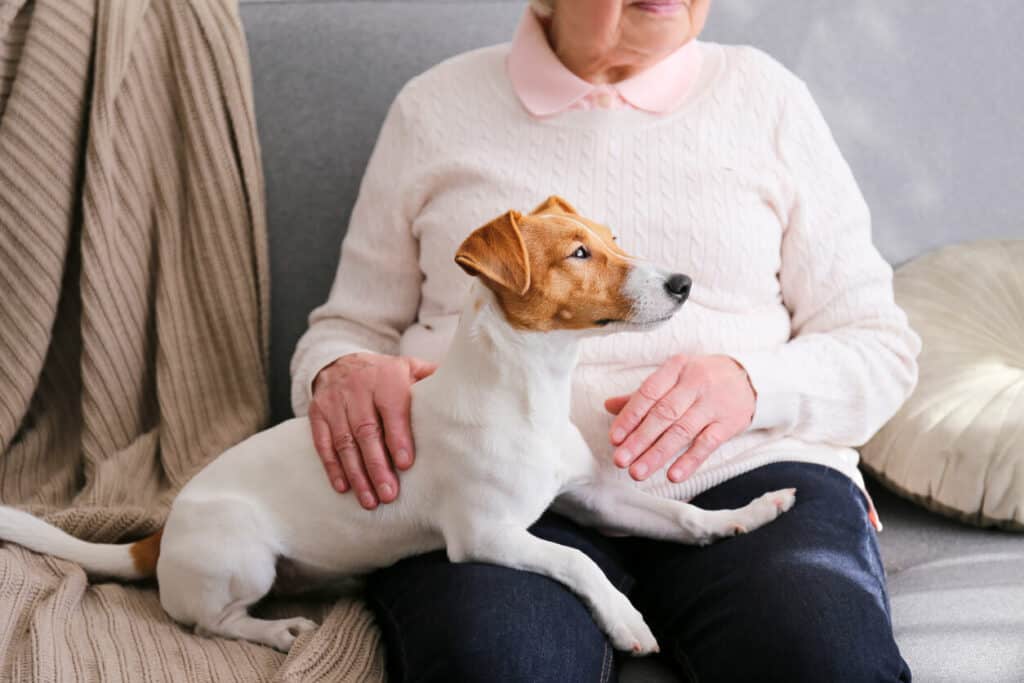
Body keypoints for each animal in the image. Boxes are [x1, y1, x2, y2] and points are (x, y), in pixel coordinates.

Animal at [0, 194, 794, 655]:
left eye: (614, 237)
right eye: (578, 252)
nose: (684, 283)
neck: (529, 391)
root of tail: (157, 539)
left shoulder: (589, 495)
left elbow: (676, 514)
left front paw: (744, 514)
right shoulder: (487, 537)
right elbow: (580, 561)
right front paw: (627, 620)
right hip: (242, 553)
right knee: (207, 622)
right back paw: (278, 630)